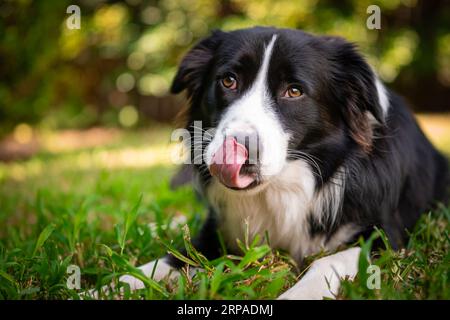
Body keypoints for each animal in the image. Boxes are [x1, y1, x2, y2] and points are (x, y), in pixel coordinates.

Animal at [119, 27, 450, 300]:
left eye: (294, 91)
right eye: (228, 81)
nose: (235, 151)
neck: (284, 186)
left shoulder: (386, 236)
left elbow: (330, 260)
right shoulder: (218, 231)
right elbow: (171, 260)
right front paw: (118, 283)